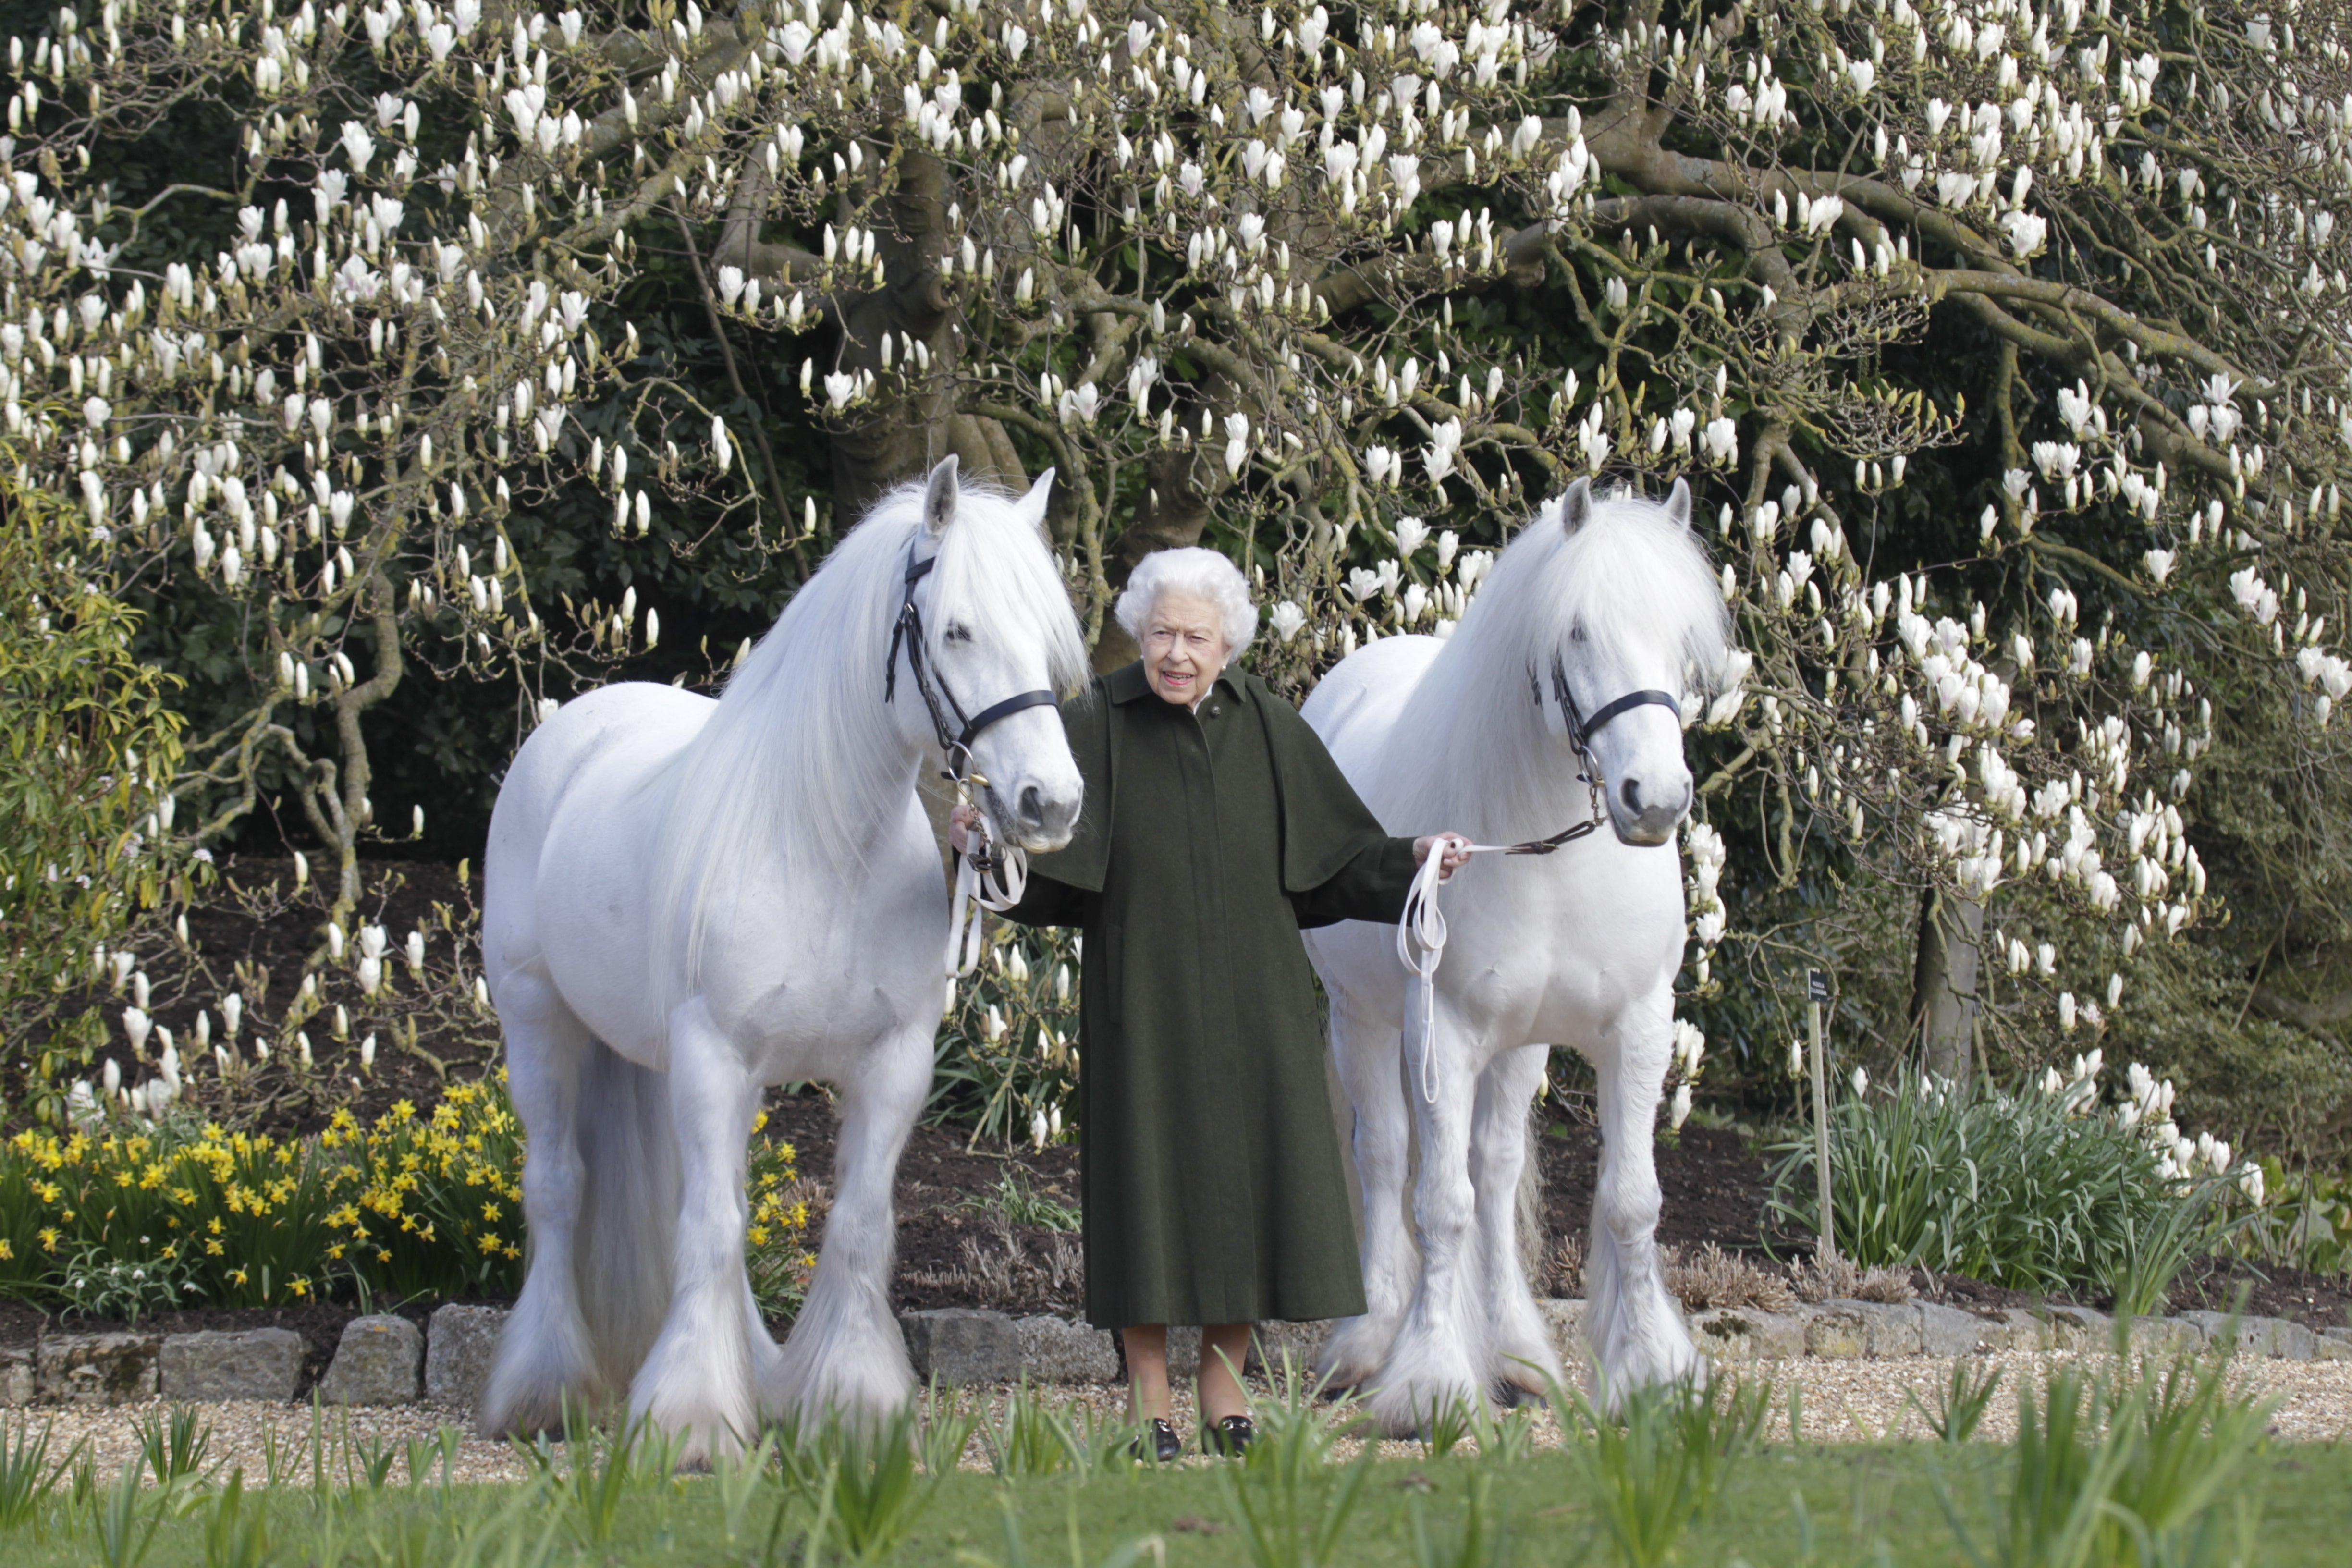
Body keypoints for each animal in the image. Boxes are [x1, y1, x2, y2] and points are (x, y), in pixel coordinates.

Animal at [491, 461, 1096, 1467]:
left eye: (1046, 637)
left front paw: (849, 1405)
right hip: (540, 1023)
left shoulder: (892, 1064)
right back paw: (544, 1389)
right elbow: (709, 1227)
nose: (1049, 802)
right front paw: (692, 1422)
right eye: (957, 628)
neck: (824, 849)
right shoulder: (715, 1056)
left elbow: (851, 1224)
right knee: (561, 1188)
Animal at [1308, 479, 1731, 1438]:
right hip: (1365, 1019)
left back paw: (1515, 1354)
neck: (1551, 855)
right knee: (1386, 1157)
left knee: (1495, 1171)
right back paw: (1369, 1343)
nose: (1655, 799)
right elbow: (1438, 1203)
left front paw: (1651, 1372)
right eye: (1576, 631)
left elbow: (1628, 1200)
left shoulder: (1636, 1027)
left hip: (1521, 1045)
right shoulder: (1444, 1031)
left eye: (1682, 635)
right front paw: (1428, 1383)